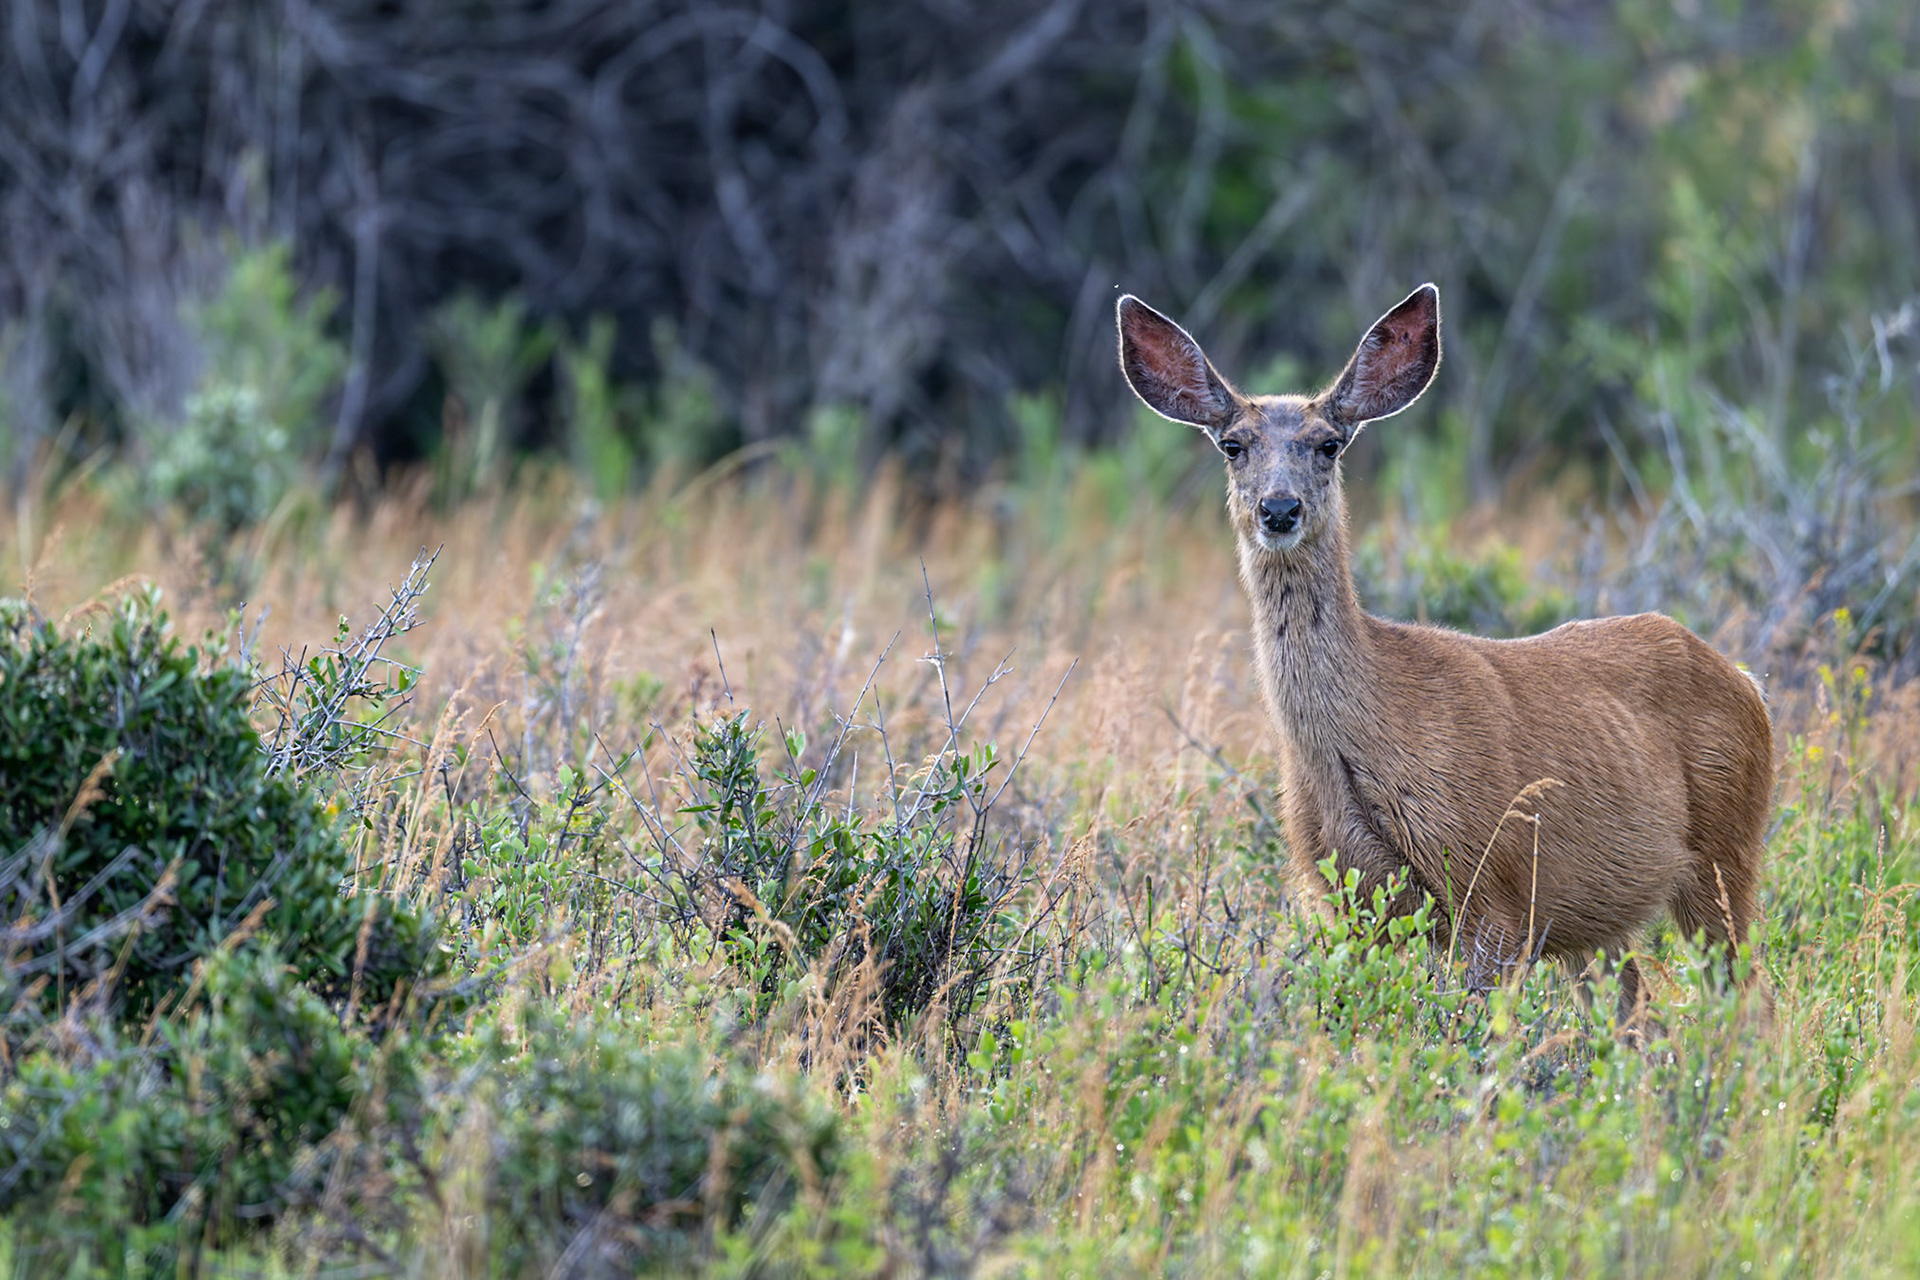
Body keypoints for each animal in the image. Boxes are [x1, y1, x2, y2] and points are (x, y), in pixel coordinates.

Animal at [1116, 284, 1774, 1021]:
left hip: (1726, 848)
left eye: (1328, 444)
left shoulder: (1495, 883)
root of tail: (1747, 682)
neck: (1364, 742)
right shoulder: (1346, 896)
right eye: (1233, 445)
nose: (1279, 509)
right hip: (1600, 921)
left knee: (1751, 992)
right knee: (1639, 1013)